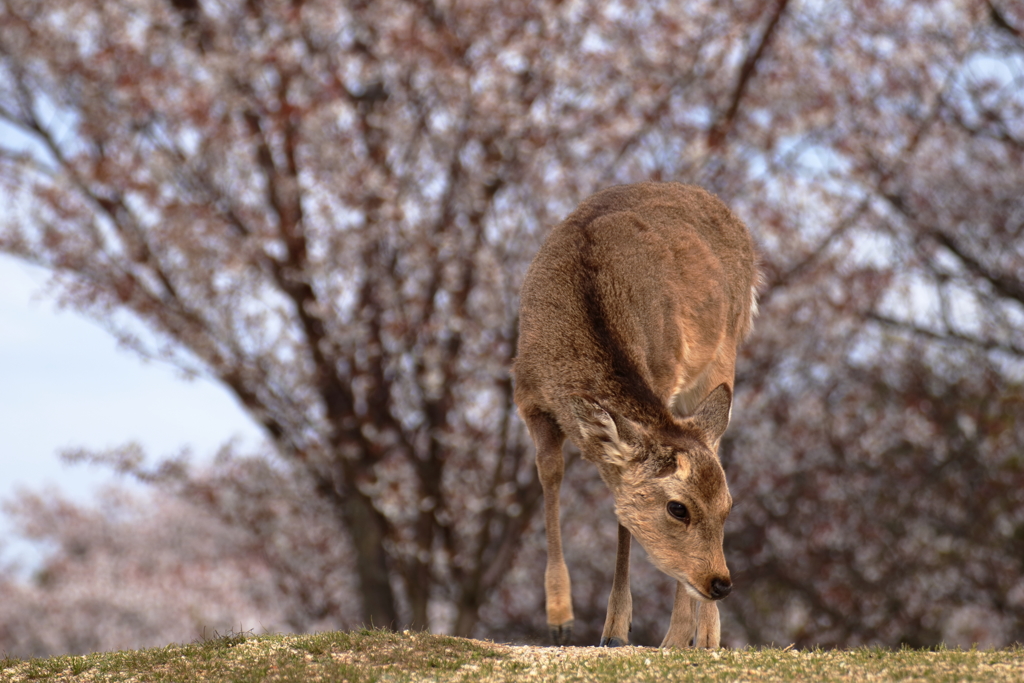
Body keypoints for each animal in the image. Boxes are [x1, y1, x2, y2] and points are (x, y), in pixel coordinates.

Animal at [516, 183, 757, 651]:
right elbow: (551, 476)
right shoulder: (529, 398)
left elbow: (621, 514)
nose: (721, 583)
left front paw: (620, 629)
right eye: (677, 508)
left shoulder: (664, 376)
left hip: (723, 353)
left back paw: (698, 635)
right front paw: (560, 618)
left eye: (728, 508)